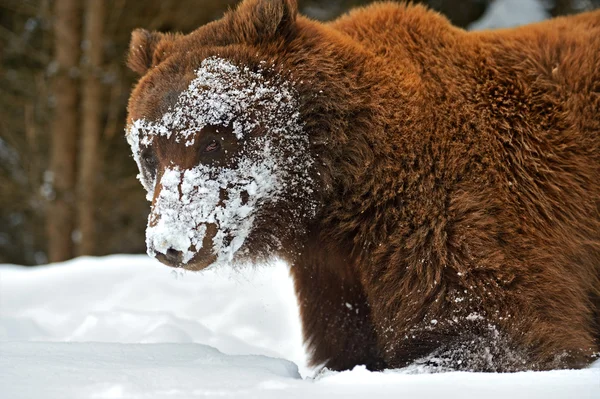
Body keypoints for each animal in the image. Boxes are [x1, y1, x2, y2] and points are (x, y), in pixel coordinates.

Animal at [124, 0, 596, 374]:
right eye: (149, 152)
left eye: (214, 140)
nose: (169, 244)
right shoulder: (332, 272)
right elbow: (347, 344)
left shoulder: (453, 213)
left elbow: (497, 331)